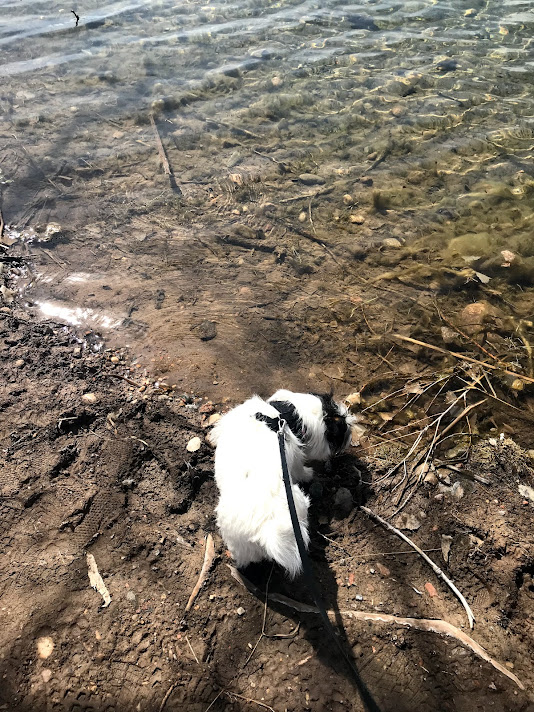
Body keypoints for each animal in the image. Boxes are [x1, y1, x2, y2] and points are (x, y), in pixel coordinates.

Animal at [211, 389, 354, 578]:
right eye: (340, 424)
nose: (351, 425)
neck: (281, 413)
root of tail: (266, 527)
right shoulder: (295, 459)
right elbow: (300, 469)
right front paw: (308, 474)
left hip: (239, 543)